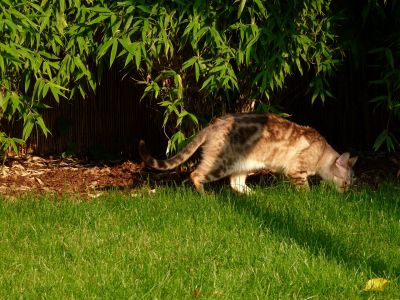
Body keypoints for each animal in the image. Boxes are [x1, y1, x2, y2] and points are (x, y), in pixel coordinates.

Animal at [139, 112, 358, 192]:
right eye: (346, 182)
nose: (346, 193)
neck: (322, 153)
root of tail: (214, 125)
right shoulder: (296, 171)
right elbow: (305, 190)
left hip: (245, 165)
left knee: (236, 184)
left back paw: (255, 195)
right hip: (222, 163)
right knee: (196, 174)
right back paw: (206, 196)